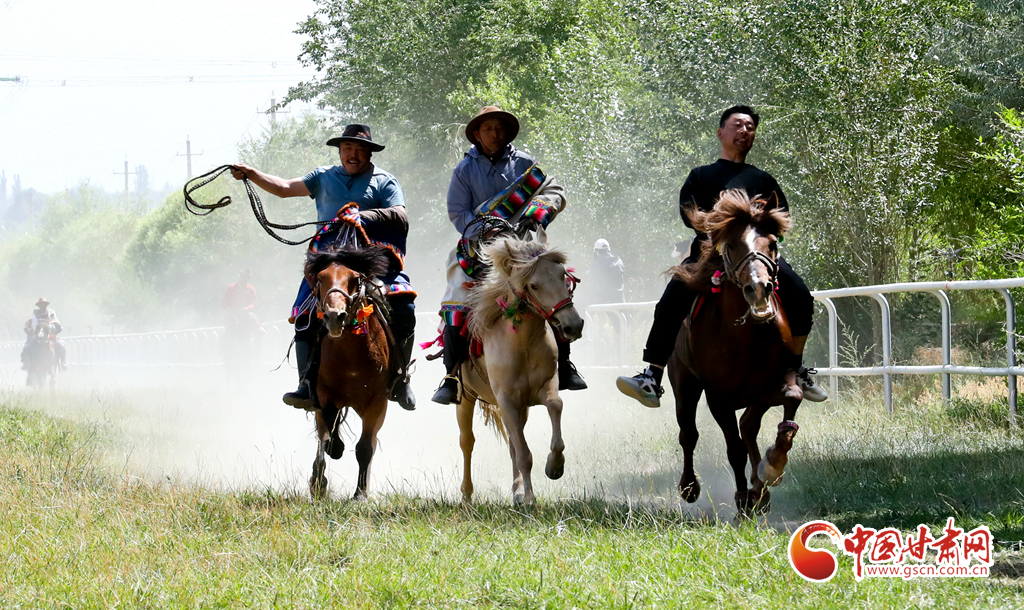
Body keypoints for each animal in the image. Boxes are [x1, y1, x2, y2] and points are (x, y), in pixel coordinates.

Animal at [301, 244, 393, 499]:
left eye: (354, 278)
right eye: (321, 278)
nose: (334, 316)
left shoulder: (378, 402)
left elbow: (365, 447)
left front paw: (360, 494)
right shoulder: (323, 392)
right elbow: (329, 423)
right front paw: (335, 449)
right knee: (323, 434)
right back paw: (318, 479)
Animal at [456, 229, 585, 505]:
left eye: (563, 275)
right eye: (534, 285)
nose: (573, 325)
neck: (522, 345)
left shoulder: (543, 389)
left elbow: (554, 408)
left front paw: (554, 467)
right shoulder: (506, 400)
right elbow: (524, 454)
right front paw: (530, 498)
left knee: (512, 444)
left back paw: (516, 490)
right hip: (466, 398)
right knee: (467, 442)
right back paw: (467, 495)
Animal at [671, 188, 806, 517]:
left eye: (772, 243)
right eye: (731, 245)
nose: (758, 288)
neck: (745, 335)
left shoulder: (772, 384)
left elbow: (790, 401)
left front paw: (772, 467)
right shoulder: (718, 397)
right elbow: (734, 448)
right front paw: (744, 498)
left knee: (748, 427)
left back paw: (761, 486)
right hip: (683, 382)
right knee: (689, 433)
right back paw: (690, 486)